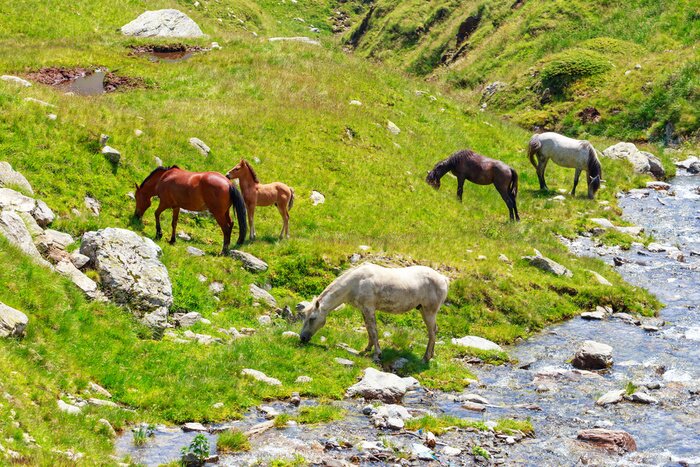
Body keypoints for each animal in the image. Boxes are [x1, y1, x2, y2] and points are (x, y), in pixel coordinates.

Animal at [299, 263, 450, 363]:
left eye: (312, 318)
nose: (302, 338)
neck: (356, 282)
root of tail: (443, 278)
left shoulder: (369, 308)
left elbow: (373, 330)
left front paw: (377, 355)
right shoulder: (363, 310)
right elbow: (368, 329)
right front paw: (367, 348)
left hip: (428, 312)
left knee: (432, 333)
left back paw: (425, 358)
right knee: (434, 332)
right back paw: (431, 355)